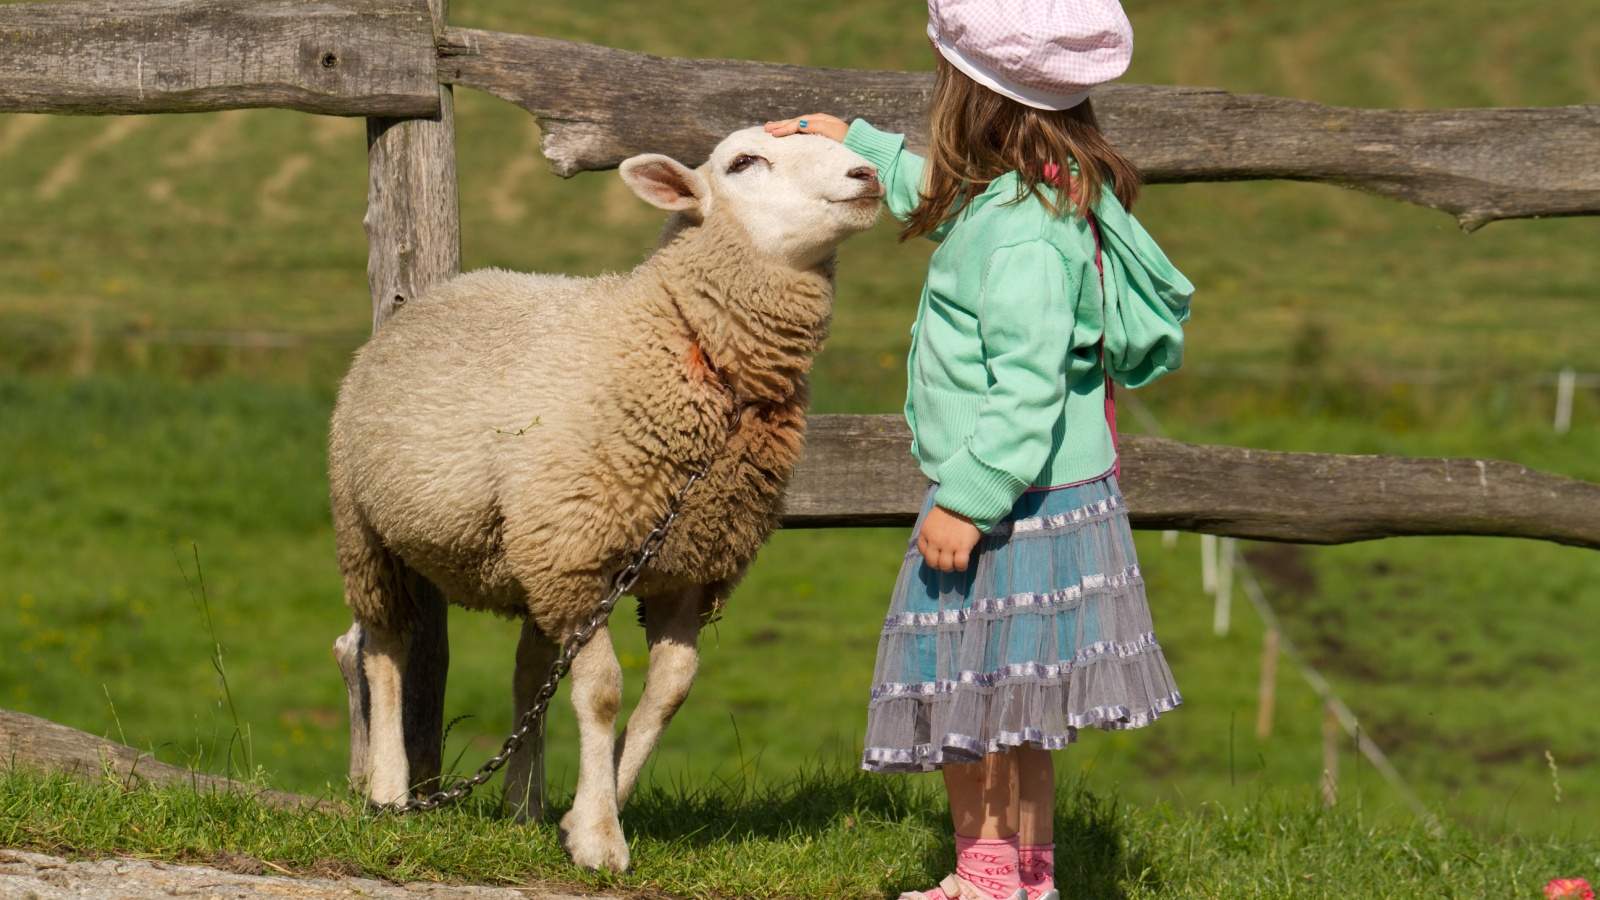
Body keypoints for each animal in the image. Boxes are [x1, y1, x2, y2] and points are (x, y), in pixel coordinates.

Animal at [329, 128, 883, 871]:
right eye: (743, 163)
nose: (867, 175)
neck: (690, 345)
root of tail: (434, 293)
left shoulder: (685, 569)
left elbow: (668, 693)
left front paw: (590, 809)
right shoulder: (578, 558)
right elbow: (601, 693)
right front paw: (598, 838)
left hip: (528, 549)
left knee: (529, 672)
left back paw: (523, 809)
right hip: (370, 530)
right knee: (385, 646)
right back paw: (388, 788)